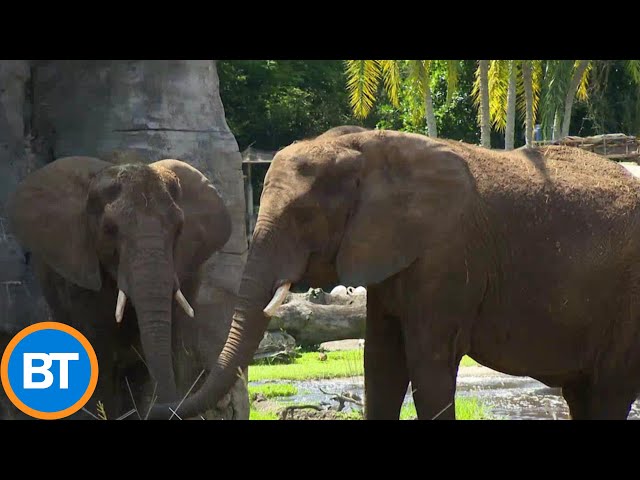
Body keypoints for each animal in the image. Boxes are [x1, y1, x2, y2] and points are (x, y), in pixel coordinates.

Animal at [151, 127, 640, 420]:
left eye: (304, 216)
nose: (161, 406)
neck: (368, 145)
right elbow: (381, 361)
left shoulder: (447, 255)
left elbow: (427, 362)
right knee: (584, 394)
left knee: (610, 391)